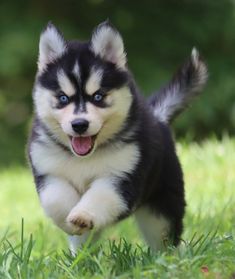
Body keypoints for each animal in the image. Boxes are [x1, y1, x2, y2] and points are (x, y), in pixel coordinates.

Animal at [28, 20, 207, 255]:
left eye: (98, 96)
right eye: (63, 98)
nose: (79, 125)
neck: (84, 158)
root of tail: (157, 117)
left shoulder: (122, 176)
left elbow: (101, 196)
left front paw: (82, 214)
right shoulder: (48, 171)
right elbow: (56, 200)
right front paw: (69, 219)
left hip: (162, 205)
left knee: (164, 235)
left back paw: (169, 257)